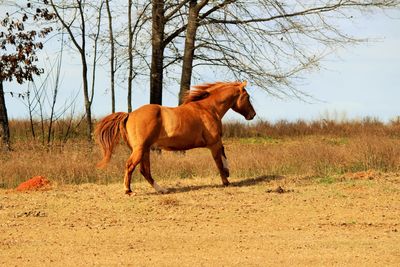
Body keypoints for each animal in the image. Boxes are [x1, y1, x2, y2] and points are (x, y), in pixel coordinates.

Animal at [95, 80, 255, 196]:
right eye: (248, 96)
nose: (252, 115)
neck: (208, 109)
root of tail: (129, 115)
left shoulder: (217, 142)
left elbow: (223, 153)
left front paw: (228, 172)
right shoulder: (213, 143)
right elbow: (219, 162)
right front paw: (226, 181)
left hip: (145, 150)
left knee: (145, 171)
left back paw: (162, 190)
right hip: (140, 149)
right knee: (130, 166)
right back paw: (129, 191)